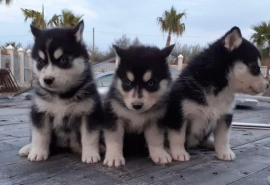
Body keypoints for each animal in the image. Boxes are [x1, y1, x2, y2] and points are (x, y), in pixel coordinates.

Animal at [18, 21, 103, 164]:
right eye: (41, 61)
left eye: (63, 60)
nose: (47, 80)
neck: (62, 95)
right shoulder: (40, 111)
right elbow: (39, 134)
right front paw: (37, 152)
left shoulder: (90, 112)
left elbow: (89, 136)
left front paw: (91, 154)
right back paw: (27, 148)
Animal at [163, 26, 268, 162]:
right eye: (255, 67)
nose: (268, 85)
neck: (220, 87)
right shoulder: (178, 113)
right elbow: (178, 136)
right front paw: (179, 152)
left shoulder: (225, 116)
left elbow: (223, 137)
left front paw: (225, 152)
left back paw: (211, 143)